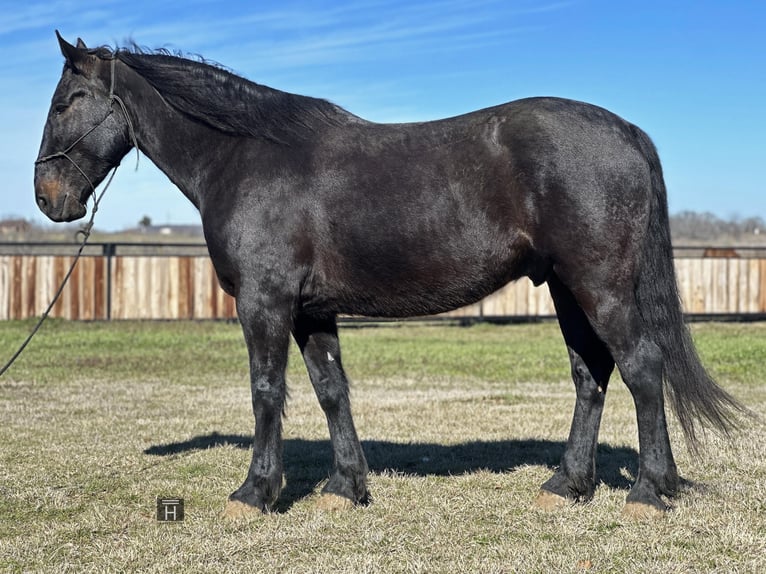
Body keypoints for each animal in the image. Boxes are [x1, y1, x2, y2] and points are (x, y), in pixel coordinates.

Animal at [34, 33, 744, 520]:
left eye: (68, 102)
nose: (48, 197)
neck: (245, 156)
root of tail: (626, 131)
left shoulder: (265, 303)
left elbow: (267, 392)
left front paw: (256, 492)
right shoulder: (312, 310)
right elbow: (331, 391)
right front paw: (344, 489)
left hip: (600, 286)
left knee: (642, 367)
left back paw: (649, 491)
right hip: (569, 289)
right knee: (591, 375)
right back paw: (566, 485)